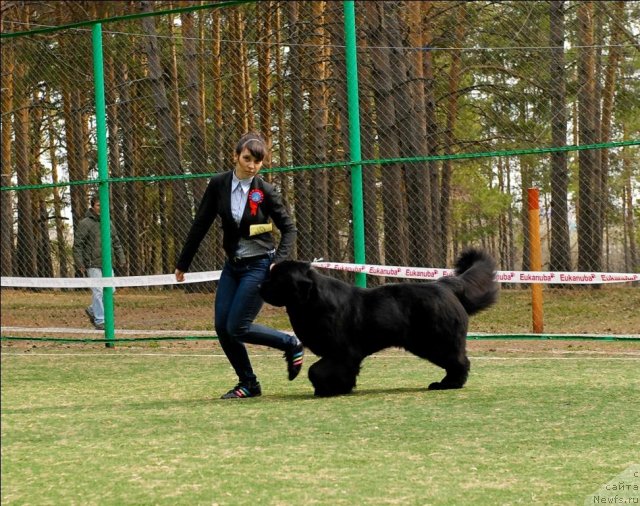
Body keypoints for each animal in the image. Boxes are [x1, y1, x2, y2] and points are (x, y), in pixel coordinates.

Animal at [258, 249, 498, 396]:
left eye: (276, 279)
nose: (260, 286)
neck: (311, 300)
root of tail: (446, 285)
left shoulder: (342, 352)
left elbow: (316, 370)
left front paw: (327, 388)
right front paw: (339, 387)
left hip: (436, 341)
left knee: (459, 361)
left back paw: (447, 384)